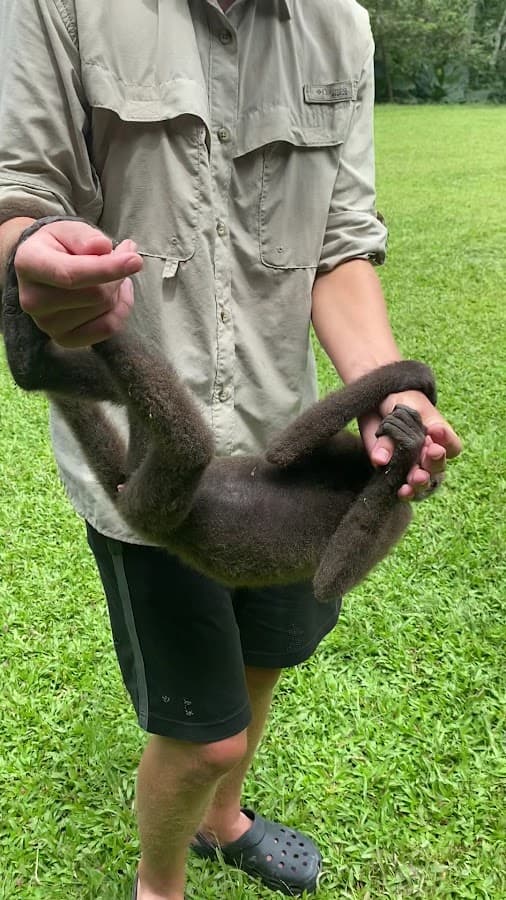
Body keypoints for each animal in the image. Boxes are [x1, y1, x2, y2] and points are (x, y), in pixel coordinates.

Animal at [2, 247, 438, 602]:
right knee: (171, 425)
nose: (430, 479)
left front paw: (408, 442)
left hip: (150, 503)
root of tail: (124, 493)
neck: (360, 472)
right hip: (151, 497)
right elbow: (285, 452)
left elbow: (325, 577)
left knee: (182, 441)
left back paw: (49, 347)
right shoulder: (360, 458)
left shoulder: (395, 510)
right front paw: (411, 381)